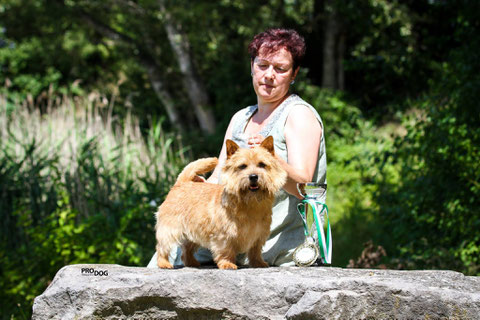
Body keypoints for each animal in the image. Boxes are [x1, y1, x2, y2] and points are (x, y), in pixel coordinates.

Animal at [156, 136, 286, 268]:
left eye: (262, 164)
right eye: (242, 166)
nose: (253, 176)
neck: (250, 203)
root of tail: (182, 183)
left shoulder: (258, 235)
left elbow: (255, 251)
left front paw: (258, 263)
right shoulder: (223, 236)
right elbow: (226, 250)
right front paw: (228, 264)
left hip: (193, 233)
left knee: (186, 249)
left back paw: (192, 263)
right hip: (170, 228)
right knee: (162, 246)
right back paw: (164, 263)